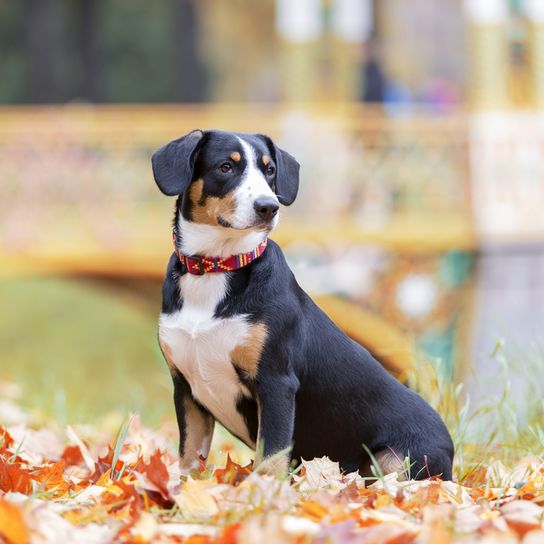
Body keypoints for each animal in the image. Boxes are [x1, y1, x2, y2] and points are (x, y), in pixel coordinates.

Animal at [153, 131, 454, 480]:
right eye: (226, 166)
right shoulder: (187, 389)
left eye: (270, 171)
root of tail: (451, 448)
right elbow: (189, 457)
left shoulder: (276, 382)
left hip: (394, 458)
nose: (268, 207)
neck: (216, 268)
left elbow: (271, 456)